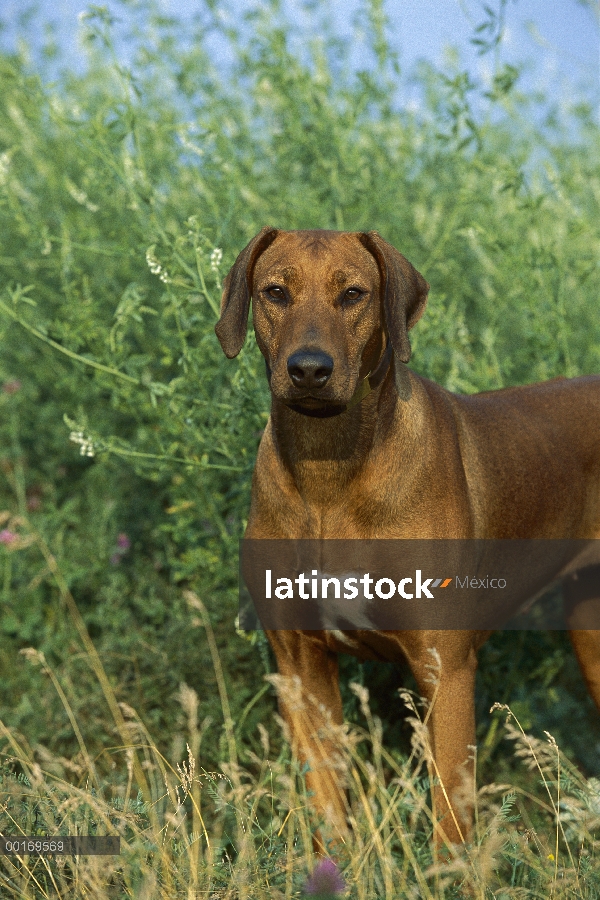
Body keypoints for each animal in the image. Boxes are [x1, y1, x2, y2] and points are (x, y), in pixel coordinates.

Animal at [214, 229, 600, 848]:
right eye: (275, 291)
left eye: (353, 294)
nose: (309, 369)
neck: (329, 471)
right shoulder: (299, 665)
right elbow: (327, 804)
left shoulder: (445, 664)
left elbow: (450, 817)